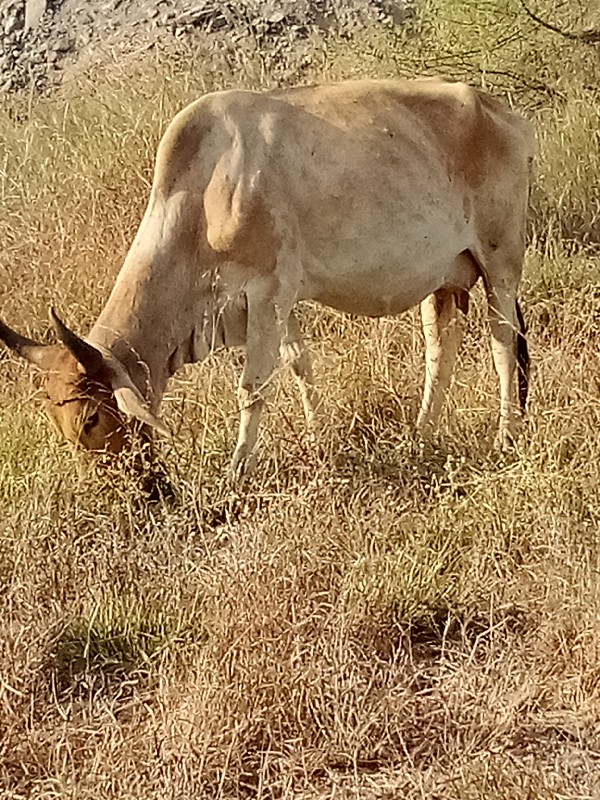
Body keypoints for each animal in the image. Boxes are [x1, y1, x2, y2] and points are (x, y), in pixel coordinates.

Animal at [0, 78, 532, 482]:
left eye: (92, 417)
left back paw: (506, 435)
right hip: (444, 282)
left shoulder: (267, 293)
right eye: (59, 424)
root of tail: (503, 111)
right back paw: (421, 437)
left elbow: (252, 387)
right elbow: (300, 367)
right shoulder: (281, 301)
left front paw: (237, 471)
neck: (203, 197)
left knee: (503, 345)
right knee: (440, 353)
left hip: (500, 264)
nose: (133, 490)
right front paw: (317, 441)